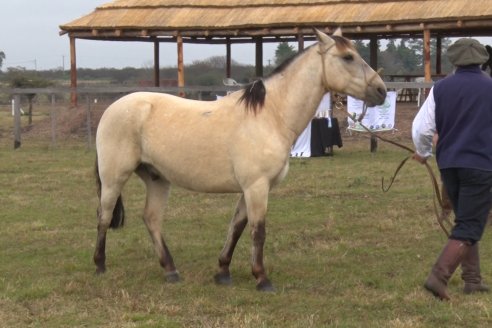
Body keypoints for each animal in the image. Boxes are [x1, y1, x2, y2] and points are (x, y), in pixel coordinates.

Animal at [93, 27, 388, 290]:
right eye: (347, 57)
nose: (381, 90)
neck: (270, 115)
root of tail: (112, 108)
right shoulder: (257, 186)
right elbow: (258, 230)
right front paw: (262, 278)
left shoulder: (251, 188)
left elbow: (236, 227)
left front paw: (223, 272)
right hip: (114, 178)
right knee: (104, 215)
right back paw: (100, 265)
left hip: (157, 178)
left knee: (151, 219)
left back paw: (171, 270)